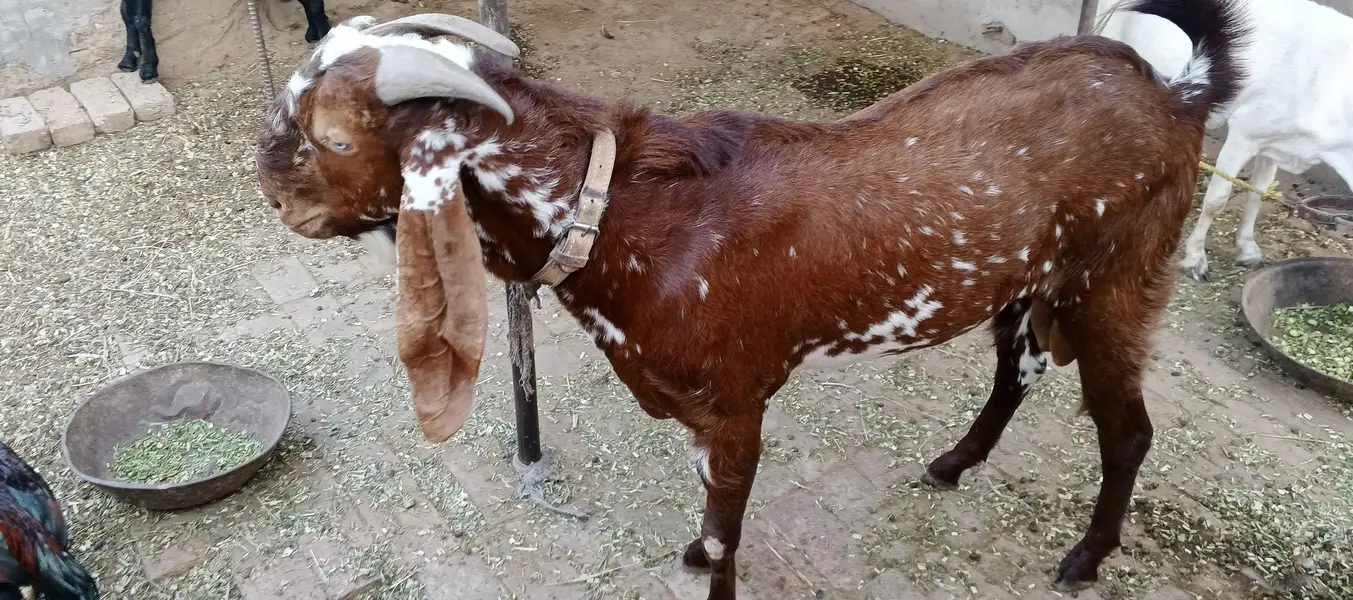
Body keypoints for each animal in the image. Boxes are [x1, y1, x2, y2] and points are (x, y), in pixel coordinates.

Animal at [254, 2, 1247, 597]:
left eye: (330, 136)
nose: (271, 191)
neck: (619, 216)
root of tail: (1176, 95)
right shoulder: (698, 409)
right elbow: (709, 515)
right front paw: (692, 550)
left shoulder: (736, 403)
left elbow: (731, 526)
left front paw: (709, 565)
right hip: (1026, 284)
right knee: (1015, 376)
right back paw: (951, 464)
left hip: (1113, 284)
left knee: (1127, 431)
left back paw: (1081, 558)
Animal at [1098, 0, 1353, 282]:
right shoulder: (1244, 132)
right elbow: (1216, 200)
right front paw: (1195, 260)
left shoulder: (1273, 142)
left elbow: (1258, 193)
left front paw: (1248, 249)